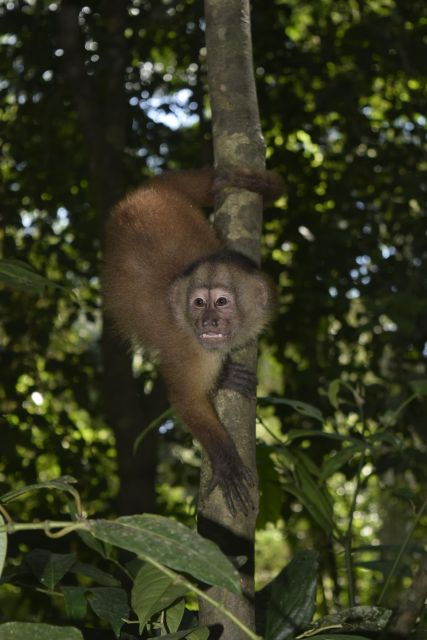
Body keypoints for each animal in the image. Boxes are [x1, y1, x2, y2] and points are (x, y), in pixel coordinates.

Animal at [102, 167, 283, 515]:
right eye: (199, 303)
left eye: (222, 303)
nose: (208, 322)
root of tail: (142, 193)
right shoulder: (189, 349)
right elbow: (187, 400)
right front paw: (225, 460)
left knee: (214, 185)